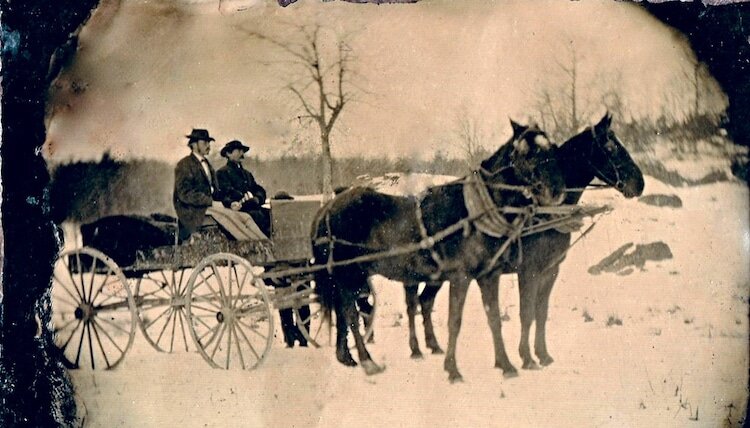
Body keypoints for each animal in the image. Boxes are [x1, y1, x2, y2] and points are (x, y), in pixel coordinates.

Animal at [314, 121, 568, 382]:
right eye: (529, 153)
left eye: (552, 147)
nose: (557, 190)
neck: (473, 214)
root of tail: (327, 207)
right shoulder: (460, 276)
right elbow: (454, 321)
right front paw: (453, 369)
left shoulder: (489, 275)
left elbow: (494, 318)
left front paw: (505, 365)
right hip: (349, 273)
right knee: (351, 314)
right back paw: (367, 361)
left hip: (351, 277)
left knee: (344, 312)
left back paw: (347, 357)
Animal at [406, 113, 648, 368]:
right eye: (611, 147)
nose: (639, 183)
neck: (546, 214)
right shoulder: (529, 271)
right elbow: (527, 313)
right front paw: (527, 357)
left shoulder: (550, 271)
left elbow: (541, 313)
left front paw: (543, 354)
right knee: (413, 303)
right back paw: (416, 349)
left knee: (425, 300)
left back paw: (433, 345)